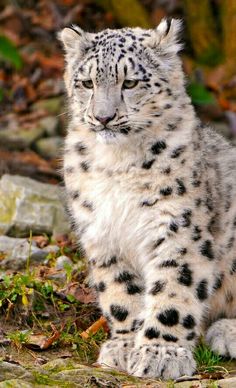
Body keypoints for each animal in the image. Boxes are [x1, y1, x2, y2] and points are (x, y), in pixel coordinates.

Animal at [59, 19, 236, 380]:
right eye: (86, 82)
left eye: (130, 82)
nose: (103, 117)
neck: (117, 163)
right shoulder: (102, 232)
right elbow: (120, 292)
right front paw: (125, 346)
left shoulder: (177, 227)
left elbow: (173, 289)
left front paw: (161, 354)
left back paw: (227, 333)